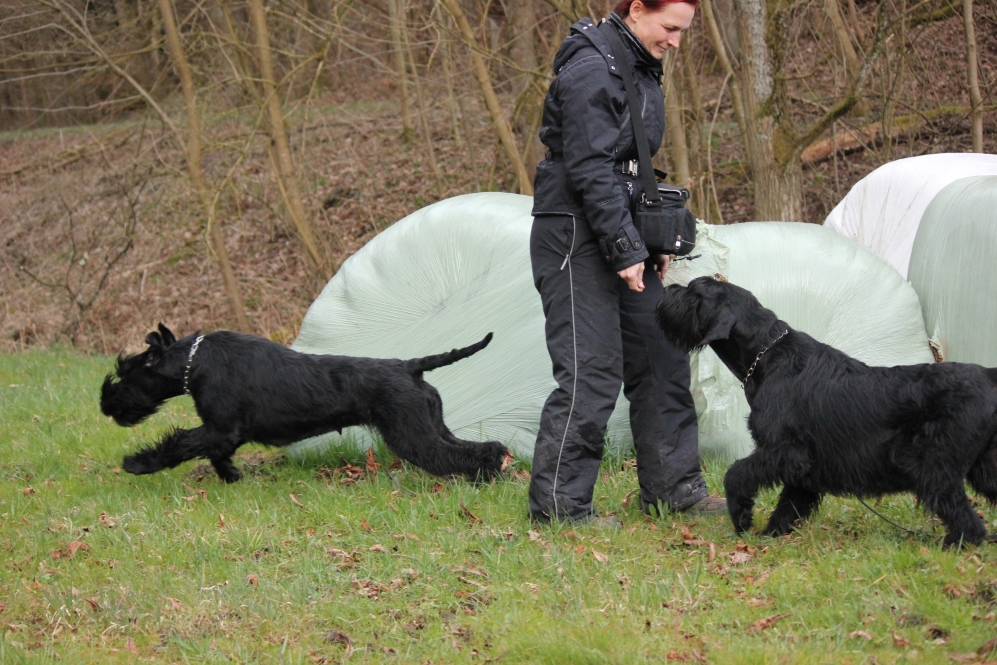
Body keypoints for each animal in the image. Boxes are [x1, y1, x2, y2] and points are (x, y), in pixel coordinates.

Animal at [100, 326, 510, 482]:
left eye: (124, 373)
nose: (105, 405)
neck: (194, 362)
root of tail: (410, 367)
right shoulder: (225, 433)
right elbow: (215, 452)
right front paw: (231, 476)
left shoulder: (220, 427)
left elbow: (181, 443)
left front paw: (137, 463)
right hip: (432, 423)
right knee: (480, 446)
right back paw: (492, 470)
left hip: (411, 433)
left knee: (456, 455)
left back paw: (482, 477)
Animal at [656, 274, 996, 544]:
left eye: (694, 291)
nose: (665, 291)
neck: (768, 356)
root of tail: (989, 378)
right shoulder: (802, 464)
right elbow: (791, 502)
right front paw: (772, 535)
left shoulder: (786, 451)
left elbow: (737, 473)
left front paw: (742, 519)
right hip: (983, 466)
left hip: (934, 467)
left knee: (966, 520)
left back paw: (952, 544)